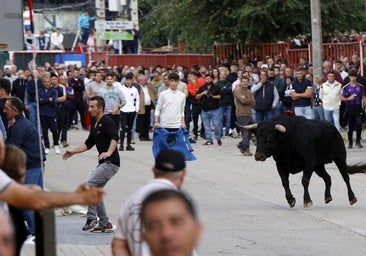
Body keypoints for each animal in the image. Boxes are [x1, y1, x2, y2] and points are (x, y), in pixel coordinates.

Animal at [237, 115, 366, 207]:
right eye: (257, 137)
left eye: (270, 137)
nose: (258, 156)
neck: (288, 140)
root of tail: (334, 129)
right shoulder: (280, 165)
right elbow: (285, 182)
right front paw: (290, 200)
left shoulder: (308, 163)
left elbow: (304, 180)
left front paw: (307, 200)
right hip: (318, 166)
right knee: (327, 178)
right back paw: (327, 197)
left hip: (339, 158)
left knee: (345, 177)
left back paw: (352, 198)